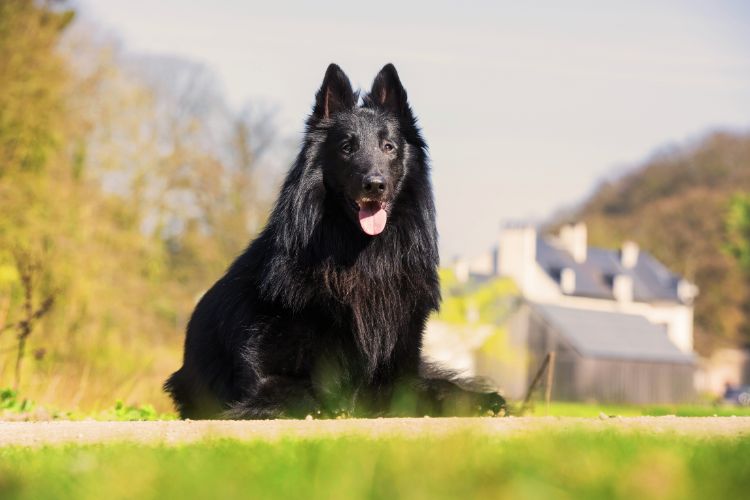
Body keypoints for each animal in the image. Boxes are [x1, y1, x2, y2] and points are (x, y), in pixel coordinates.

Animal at [164, 62, 506, 418]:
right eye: (346, 147)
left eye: (389, 147)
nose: (375, 185)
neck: (363, 257)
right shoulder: (270, 380)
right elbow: (310, 395)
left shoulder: (398, 372)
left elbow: (437, 389)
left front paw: (481, 400)